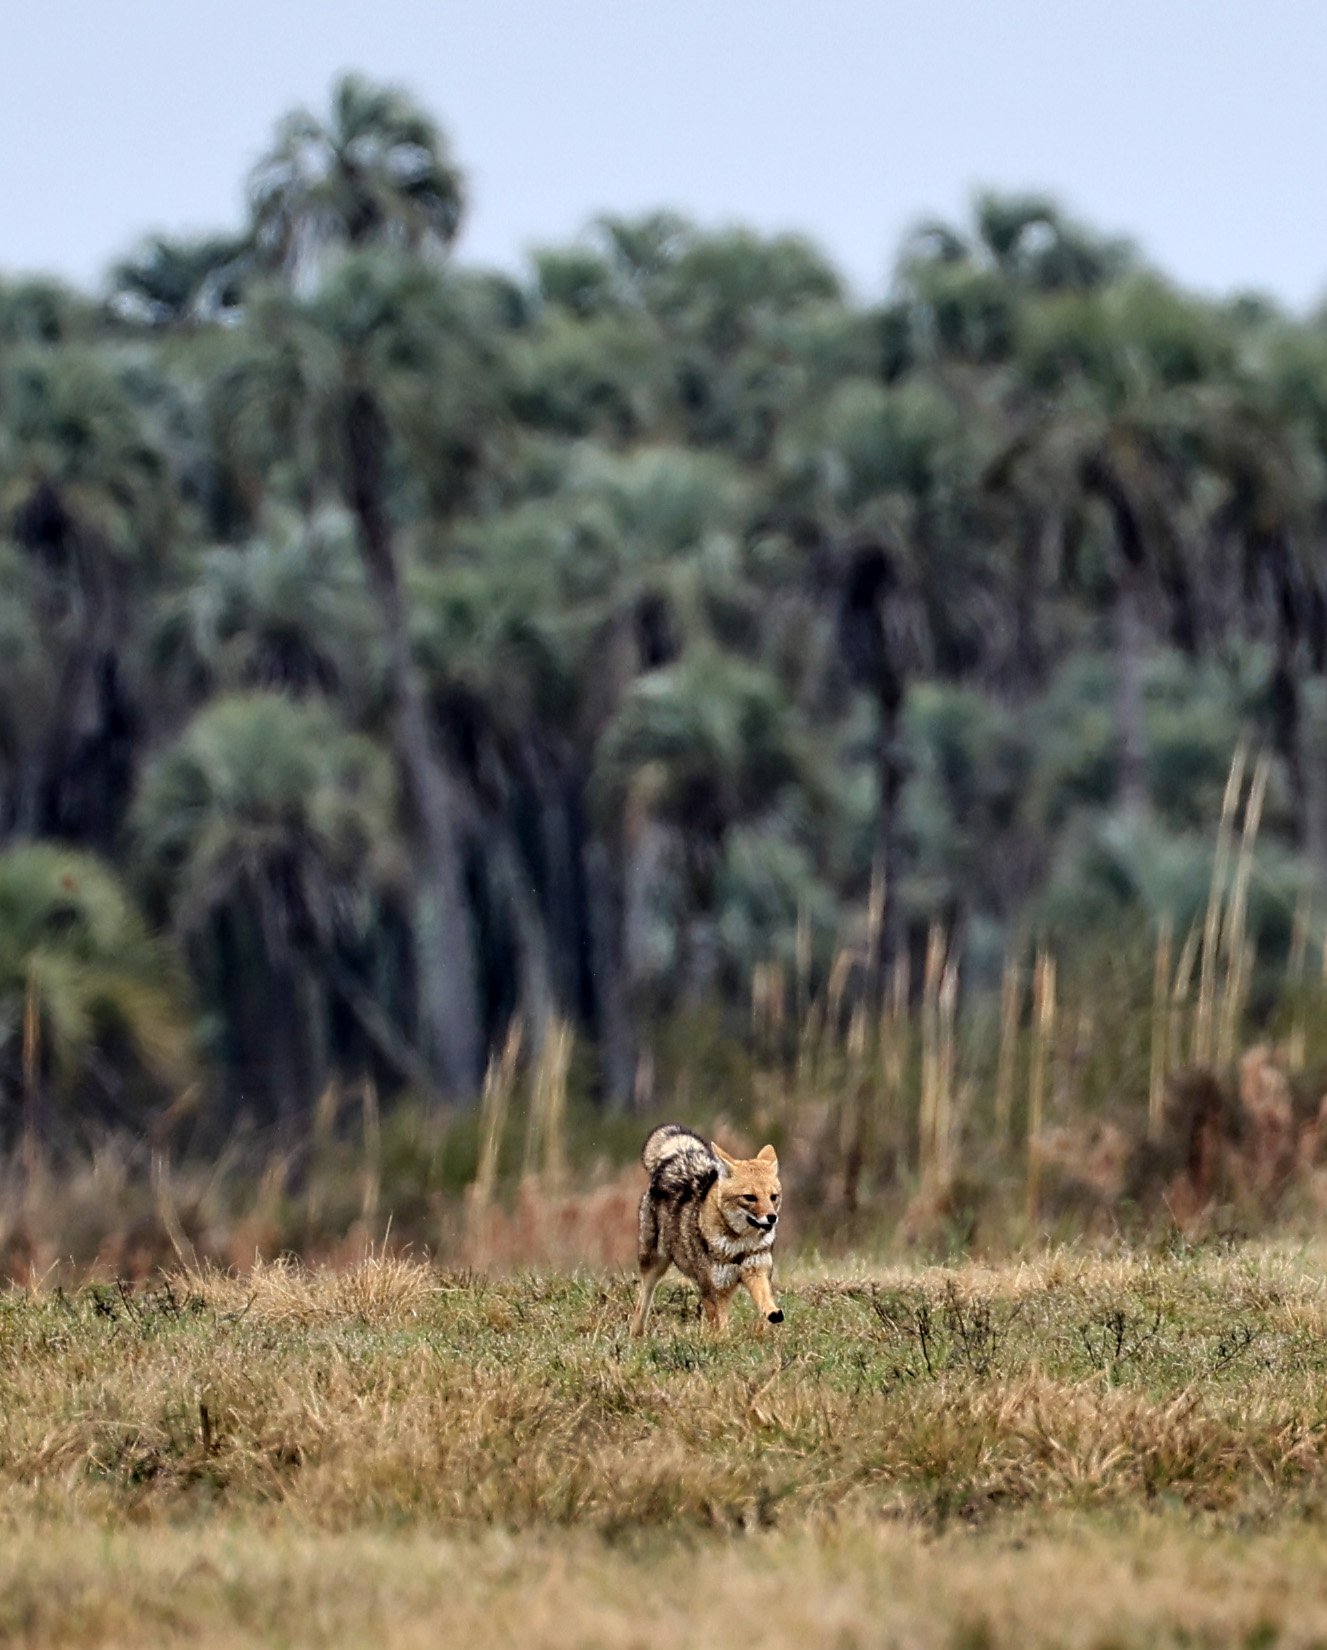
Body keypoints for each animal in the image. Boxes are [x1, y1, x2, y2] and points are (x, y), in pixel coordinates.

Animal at [631, 1124, 784, 1336]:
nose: (772, 1217)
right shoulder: (714, 1290)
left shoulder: (755, 1273)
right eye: (750, 1197)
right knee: (641, 1304)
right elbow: (720, 1327)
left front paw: (773, 1314)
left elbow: (765, 1302)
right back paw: (636, 1333)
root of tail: (679, 1156)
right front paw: (723, 1342)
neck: (739, 1246)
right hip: (654, 1266)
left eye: (773, 1197)